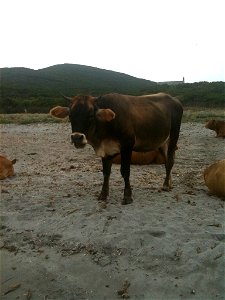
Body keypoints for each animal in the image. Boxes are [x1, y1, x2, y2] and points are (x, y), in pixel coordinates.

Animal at [49, 92, 183, 204]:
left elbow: (125, 171)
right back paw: (169, 183)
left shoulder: (127, 146)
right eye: (70, 115)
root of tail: (173, 98)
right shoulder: (106, 150)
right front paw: (103, 194)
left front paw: (127, 196)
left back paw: (165, 185)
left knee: (170, 161)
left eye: (91, 115)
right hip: (161, 141)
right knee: (167, 160)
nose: (77, 138)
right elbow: (106, 172)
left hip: (174, 134)